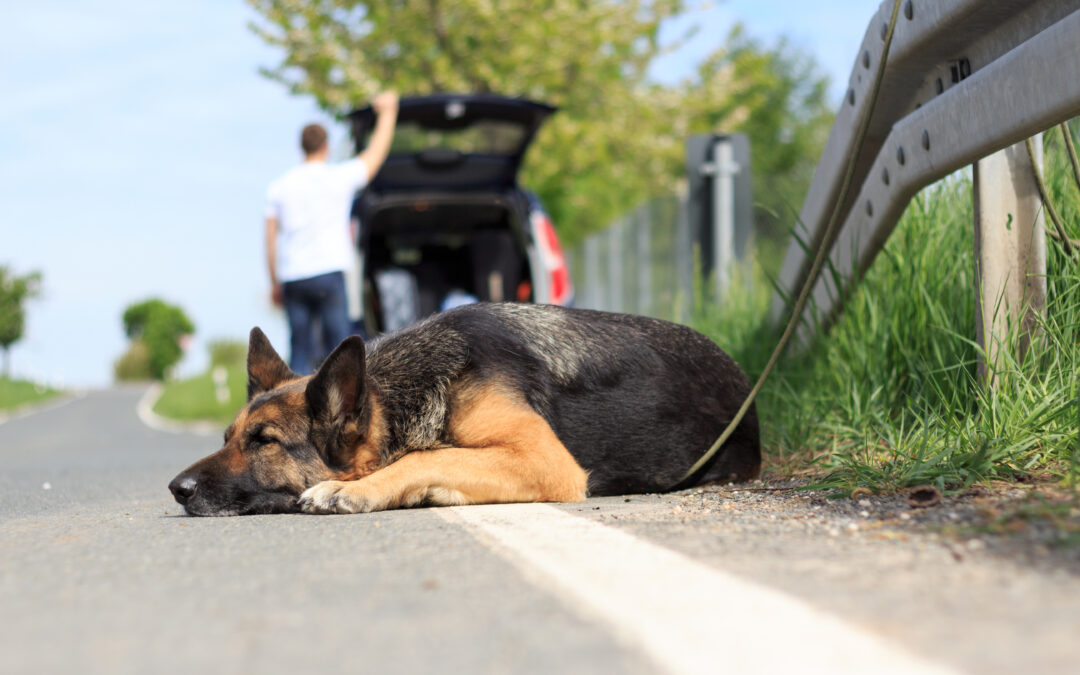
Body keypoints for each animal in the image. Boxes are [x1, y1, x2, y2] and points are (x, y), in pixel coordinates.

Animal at [168, 302, 760, 516]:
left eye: (263, 441)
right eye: (226, 437)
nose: (176, 489)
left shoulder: (545, 458)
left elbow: (424, 455)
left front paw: (354, 489)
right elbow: (437, 455)